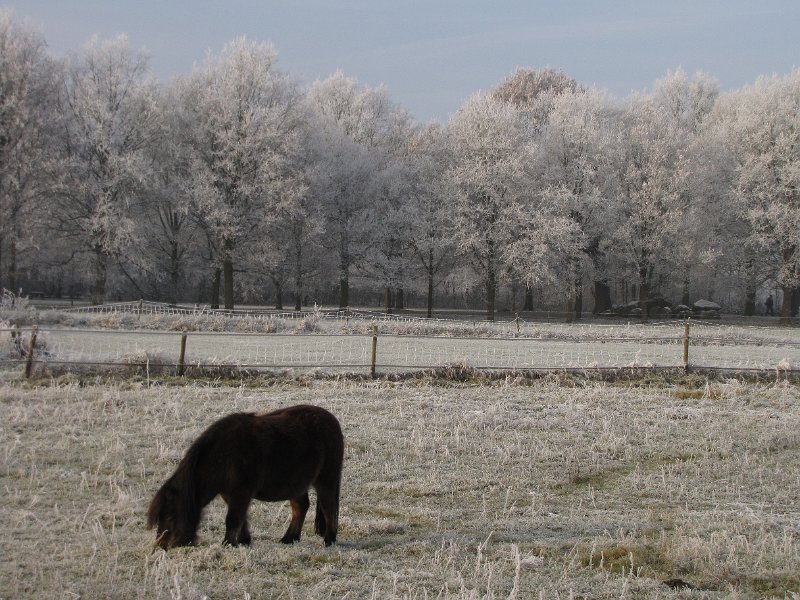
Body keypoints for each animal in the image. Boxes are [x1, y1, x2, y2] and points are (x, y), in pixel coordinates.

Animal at [147, 404, 344, 550]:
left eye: (170, 515)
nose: (161, 546)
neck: (223, 455)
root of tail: (333, 421)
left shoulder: (242, 491)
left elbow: (233, 518)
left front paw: (228, 543)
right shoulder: (230, 493)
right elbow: (241, 517)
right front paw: (243, 540)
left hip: (326, 480)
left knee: (328, 507)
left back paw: (329, 540)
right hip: (296, 484)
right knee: (300, 507)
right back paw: (289, 538)